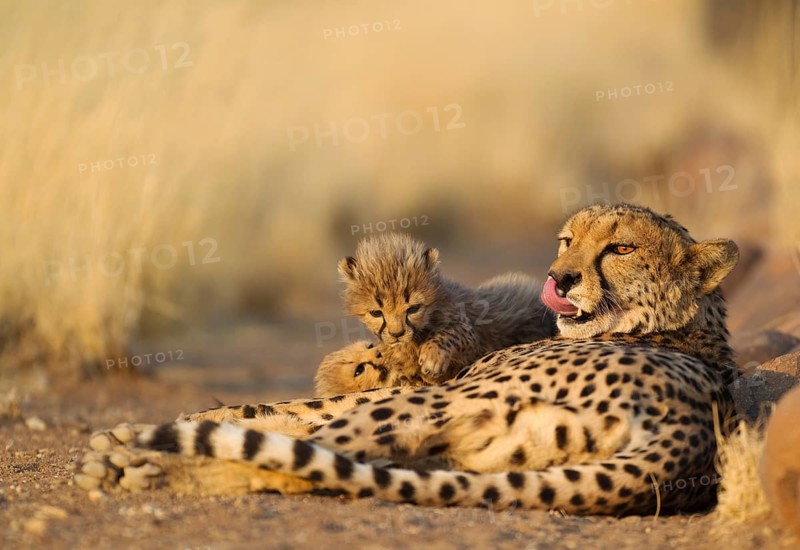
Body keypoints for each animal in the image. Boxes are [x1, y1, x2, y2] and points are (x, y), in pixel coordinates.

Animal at [336, 232, 556, 384]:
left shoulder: (470, 335)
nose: (397, 334)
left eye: (413, 309)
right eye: (376, 313)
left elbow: (448, 333)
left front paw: (432, 358)